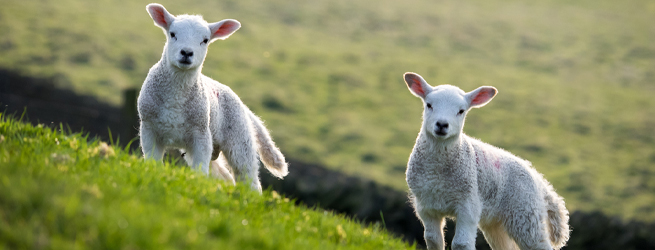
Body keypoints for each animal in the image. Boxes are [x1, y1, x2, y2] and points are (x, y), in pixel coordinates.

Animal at [137, 2, 288, 192]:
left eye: (205, 40)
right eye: (172, 34)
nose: (186, 53)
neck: (176, 97)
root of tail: (244, 106)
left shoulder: (201, 134)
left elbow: (199, 172)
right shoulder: (149, 129)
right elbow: (153, 163)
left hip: (239, 140)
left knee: (248, 178)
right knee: (225, 176)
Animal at [402, 71, 572, 249]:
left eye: (461, 111)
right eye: (429, 105)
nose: (442, 124)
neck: (436, 172)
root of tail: (539, 179)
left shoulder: (468, 205)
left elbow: (461, 243)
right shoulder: (426, 206)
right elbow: (433, 239)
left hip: (526, 214)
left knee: (538, 243)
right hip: (495, 223)